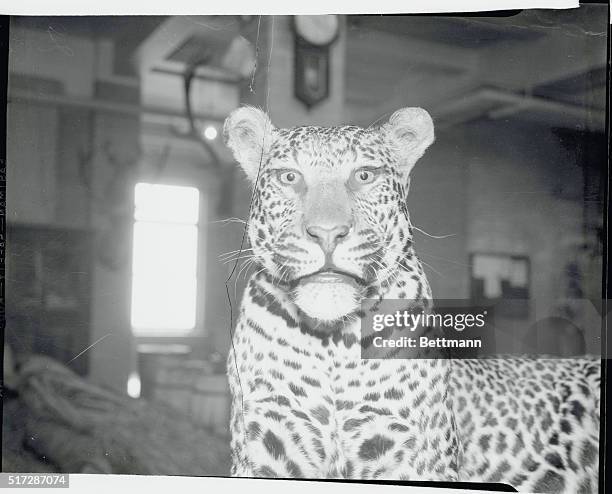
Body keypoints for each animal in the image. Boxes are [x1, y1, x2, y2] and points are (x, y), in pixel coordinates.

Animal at [222, 106, 600, 492]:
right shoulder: (268, 444)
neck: (333, 345)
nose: (327, 233)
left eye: (364, 175)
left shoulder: (413, 455)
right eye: (289, 177)